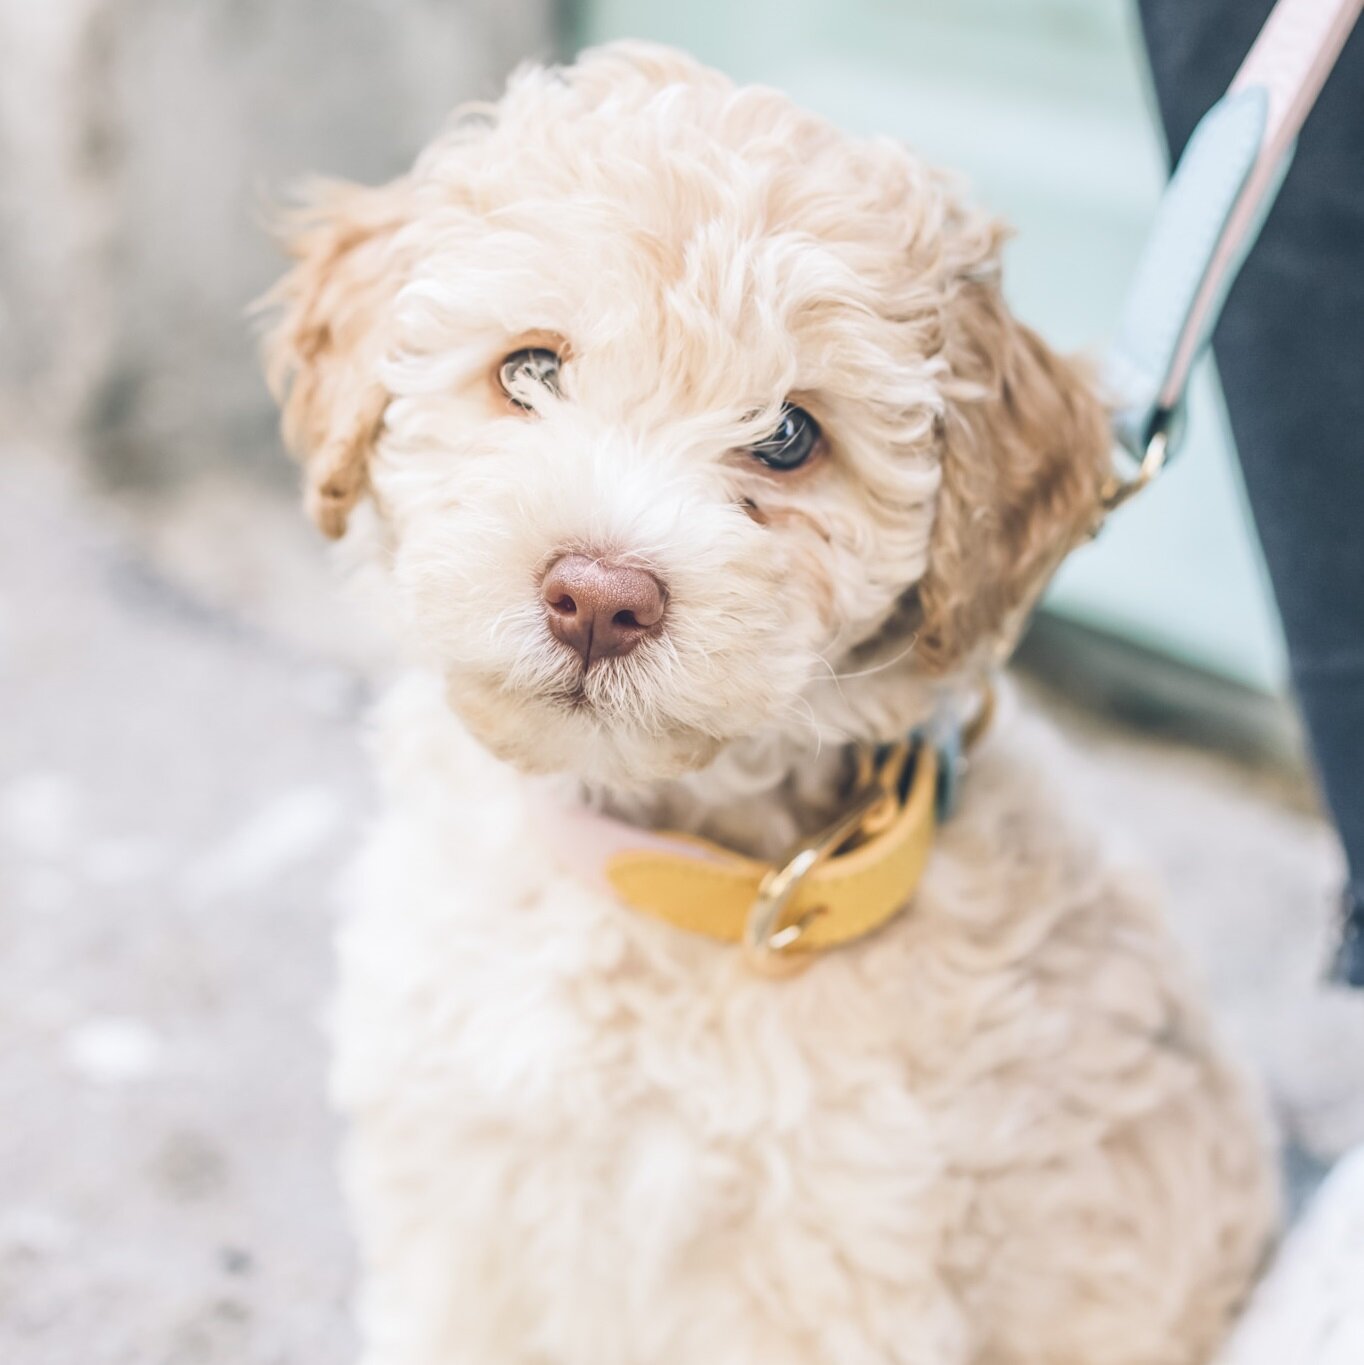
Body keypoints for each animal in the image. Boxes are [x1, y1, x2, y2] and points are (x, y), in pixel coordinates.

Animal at [263, 42, 1277, 1365]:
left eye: (789, 436)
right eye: (529, 369)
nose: (597, 598)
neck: (653, 870)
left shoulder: (821, 1282)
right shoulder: (459, 1204)